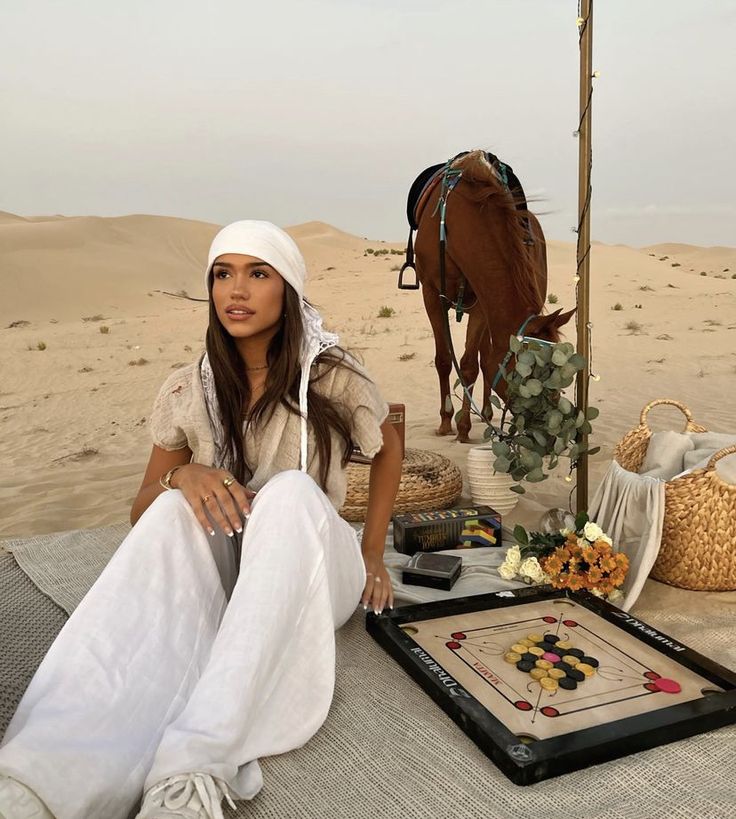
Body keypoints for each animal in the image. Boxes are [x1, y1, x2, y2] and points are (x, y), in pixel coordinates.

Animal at [414, 149, 576, 442]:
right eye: (531, 373)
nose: (551, 431)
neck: (460, 222)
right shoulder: (432, 294)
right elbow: (444, 360)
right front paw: (446, 422)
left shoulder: (482, 301)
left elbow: (470, 364)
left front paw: (464, 427)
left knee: (482, 356)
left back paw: (487, 413)